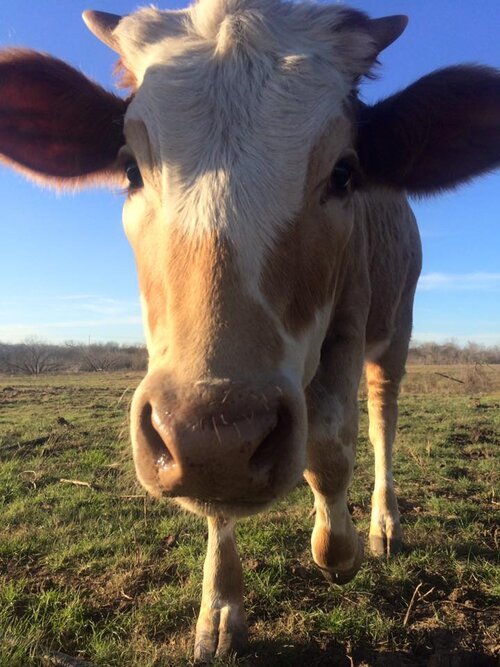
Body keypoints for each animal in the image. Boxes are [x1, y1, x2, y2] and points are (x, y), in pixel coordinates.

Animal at [1, 1, 499, 660]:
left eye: (345, 173)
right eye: (130, 169)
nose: (211, 431)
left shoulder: (350, 318)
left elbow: (330, 448)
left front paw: (337, 549)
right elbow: (219, 503)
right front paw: (220, 610)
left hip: (398, 324)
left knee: (381, 418)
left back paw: (383, 524)